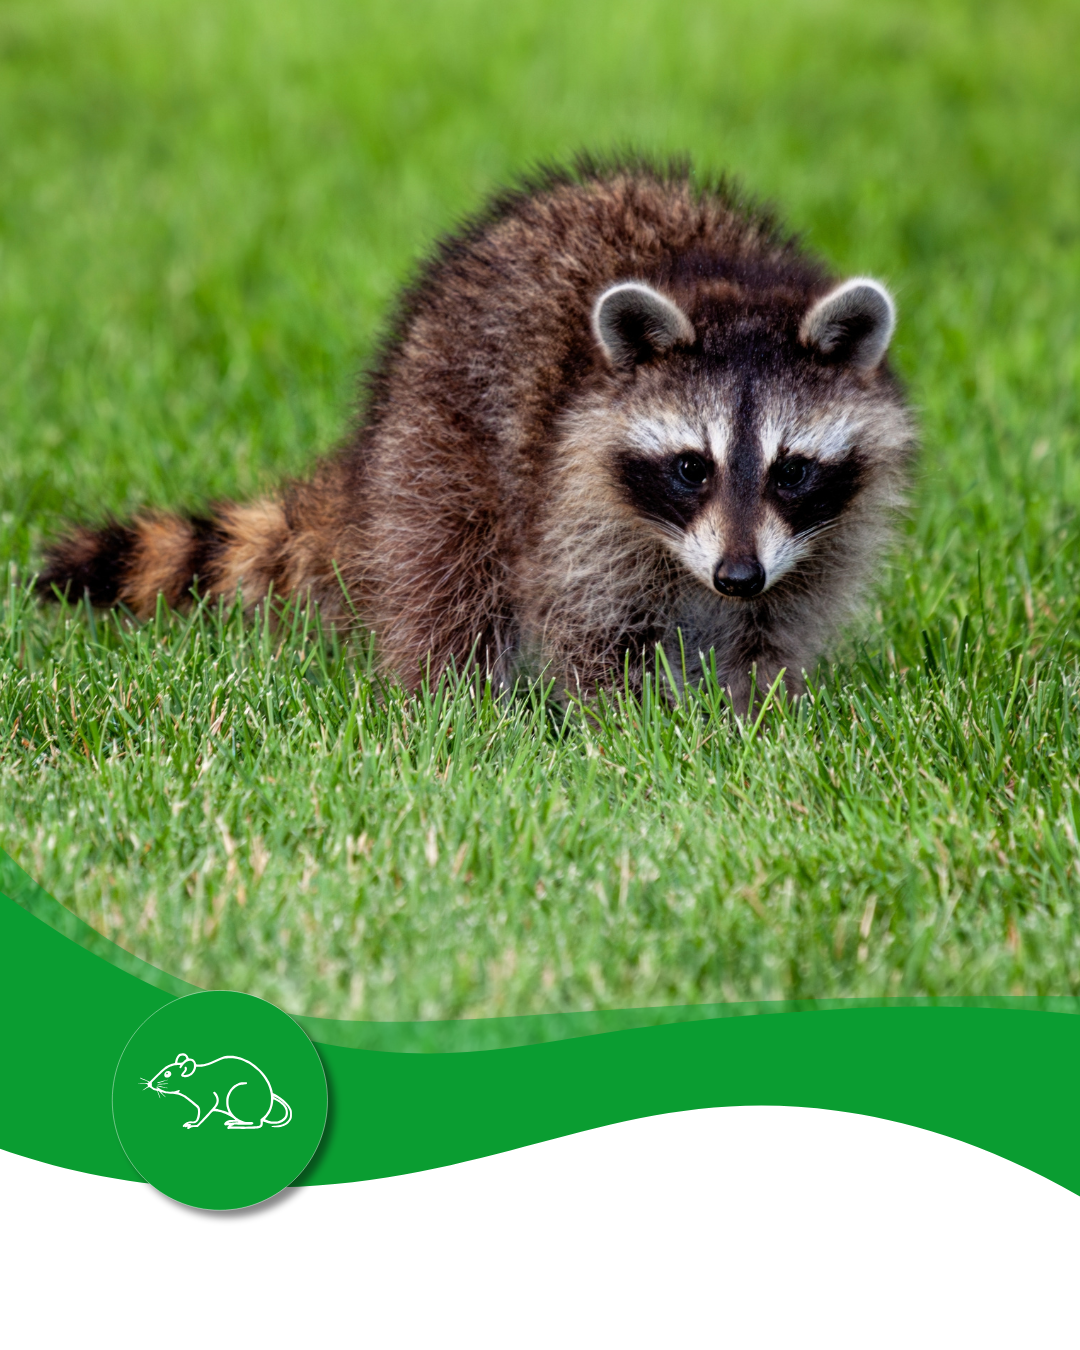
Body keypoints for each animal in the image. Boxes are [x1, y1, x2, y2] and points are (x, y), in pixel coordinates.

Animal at [38, 156, 915, 712]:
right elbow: (589, 622)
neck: (728, 284)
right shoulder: (572, 496)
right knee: (448, 563)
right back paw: (457, 704)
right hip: (440, 432)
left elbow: (775, 626)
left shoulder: (815, 541)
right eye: (691, 468)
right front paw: (633, 725)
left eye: (791, 470)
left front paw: (760, 715)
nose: (736, 577)